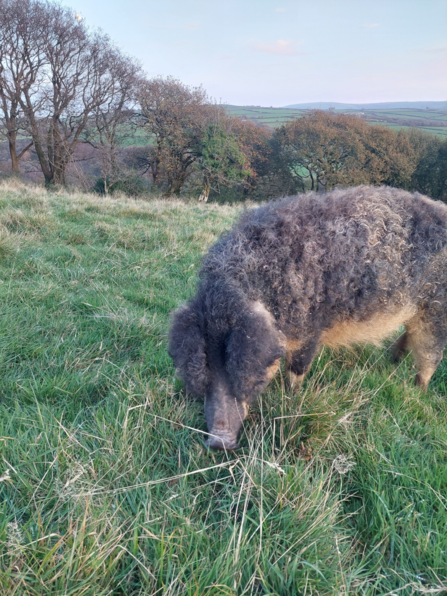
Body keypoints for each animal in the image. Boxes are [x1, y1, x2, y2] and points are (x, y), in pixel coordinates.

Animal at [169, 187, 447, 452]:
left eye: (241, 364)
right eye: (206, 362)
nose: (218, 441)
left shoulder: (311, 329)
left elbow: (297, 369)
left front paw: (291, 399)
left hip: (435, 310)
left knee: (429, 356)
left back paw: (417, 391)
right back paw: (392, 360)